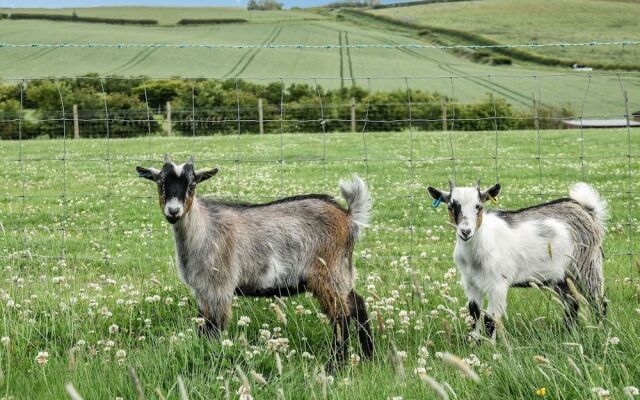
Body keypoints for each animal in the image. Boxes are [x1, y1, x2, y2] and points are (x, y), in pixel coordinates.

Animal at [136, 155, 376, 368]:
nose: (173, 211)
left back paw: (336, 365)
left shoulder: (220, 288)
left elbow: (215, 329)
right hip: (341, 273)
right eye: (160, 183)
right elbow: (203, 327)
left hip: (327, 273)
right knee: (357, 305)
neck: (204, 229)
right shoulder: (203, 292)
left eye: (192, 184)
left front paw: (214, 360)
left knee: (341, 316)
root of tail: (348, 216)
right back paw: (367, 356)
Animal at [428, 181, 608, 338]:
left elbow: (490, 319)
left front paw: (490, 349)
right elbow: (474, 314)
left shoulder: (498, 285)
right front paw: (474, 343)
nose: (465, 232)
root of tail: (586, 210)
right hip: (562, 277)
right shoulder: (471, 284)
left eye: (479, 206)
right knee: (571, 304)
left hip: (587, 265)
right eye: (451, 206)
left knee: (599, 302)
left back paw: (601, 332)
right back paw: (568, 333)